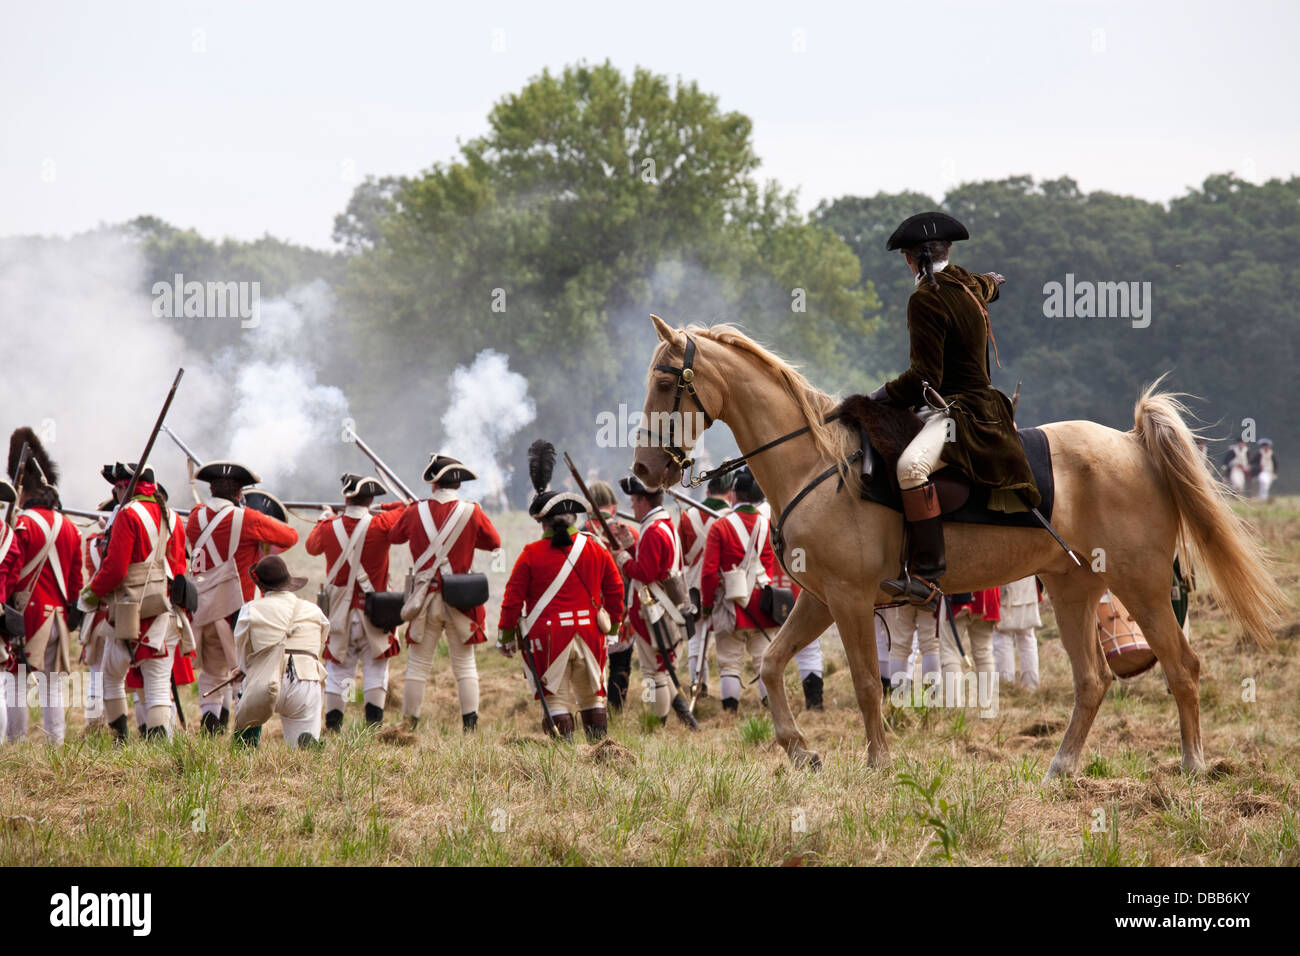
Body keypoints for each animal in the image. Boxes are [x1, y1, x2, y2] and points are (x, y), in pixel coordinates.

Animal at [634, 317, 1284, 780]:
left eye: (666, 382)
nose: (642, 471)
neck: (817, 462)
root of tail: (1130, 443)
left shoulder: (848, 599)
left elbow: (866, 682)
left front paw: (878, 763)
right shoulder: (819, 599)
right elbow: (771, 665)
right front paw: (801, 752)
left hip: (1142, 587)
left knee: (1182, 667)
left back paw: (1193, 766)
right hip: (1074, 588)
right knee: (1093, 680)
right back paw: (1061, 768)